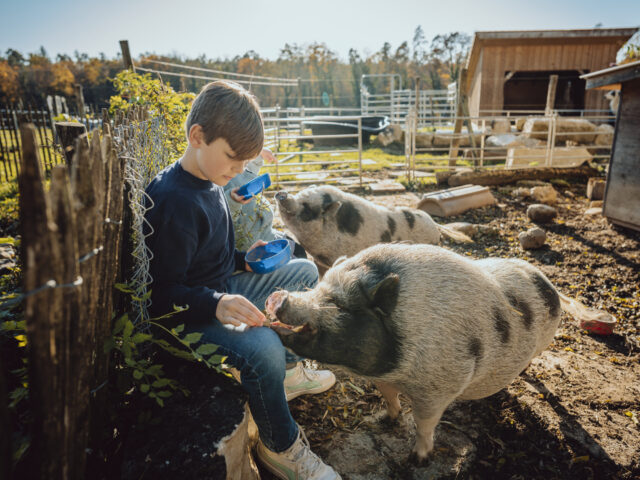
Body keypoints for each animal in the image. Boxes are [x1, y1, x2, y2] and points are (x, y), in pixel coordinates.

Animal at [264, 244, 608, 462]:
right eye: (317, 288)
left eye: (338, 304)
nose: (277, 297)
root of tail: (548, 281)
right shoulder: (383, 377)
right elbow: (390, 399)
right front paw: (384, 420)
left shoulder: (439, 386)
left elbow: (424, 423)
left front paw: (417, 461)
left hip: (544, 340)